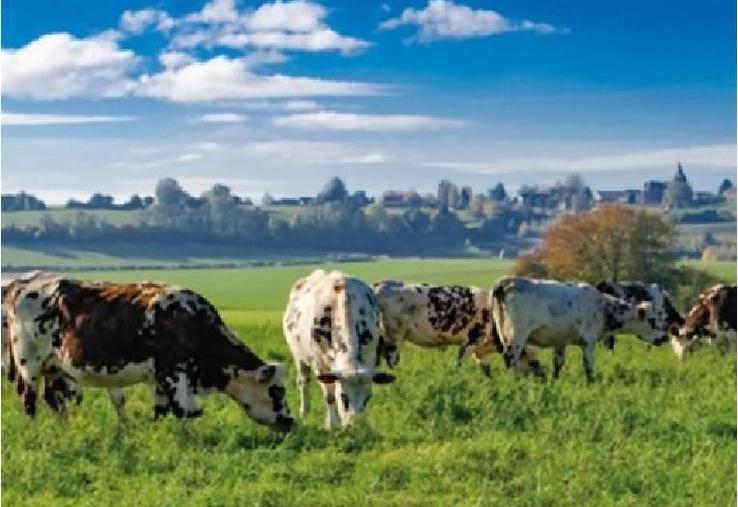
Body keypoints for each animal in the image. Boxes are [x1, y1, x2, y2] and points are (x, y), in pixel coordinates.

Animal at [4, 274, 293, 431]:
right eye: (277, 391)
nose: (290, 421)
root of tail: (21, 287)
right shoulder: (174, 373)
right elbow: (185, 412)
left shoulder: (160, 379)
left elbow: (161, 412)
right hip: (29, 364)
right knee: (29, 400)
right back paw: (34, 431)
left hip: (54, 367)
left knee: (54, 400)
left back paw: (65, 431)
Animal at [283, 270, 396, 430]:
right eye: (343, 397)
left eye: (368, 397)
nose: (355, 425)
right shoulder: (320, 365)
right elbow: (329, 396)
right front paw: (331, 424)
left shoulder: (371, 359)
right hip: (299, 358)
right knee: (303, 382)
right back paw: (304, 412)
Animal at [373, 280, 543, 377]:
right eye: (534, 363)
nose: (542, 378)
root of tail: (381, 284)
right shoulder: (472, 340)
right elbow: (459, 363)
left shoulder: (481, 351)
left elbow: (486, 371)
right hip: (394, 335)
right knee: (391, 359)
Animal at [491, 276, 669, 381]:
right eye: (652, 320)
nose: (664, 337)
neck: (602, 308)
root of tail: (507, 281)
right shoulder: (589, 341)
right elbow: (588, 365)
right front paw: (591, 382)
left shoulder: (560, 341)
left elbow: (558, 363)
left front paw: (555, 381)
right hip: (516, 335)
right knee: (510, 358)